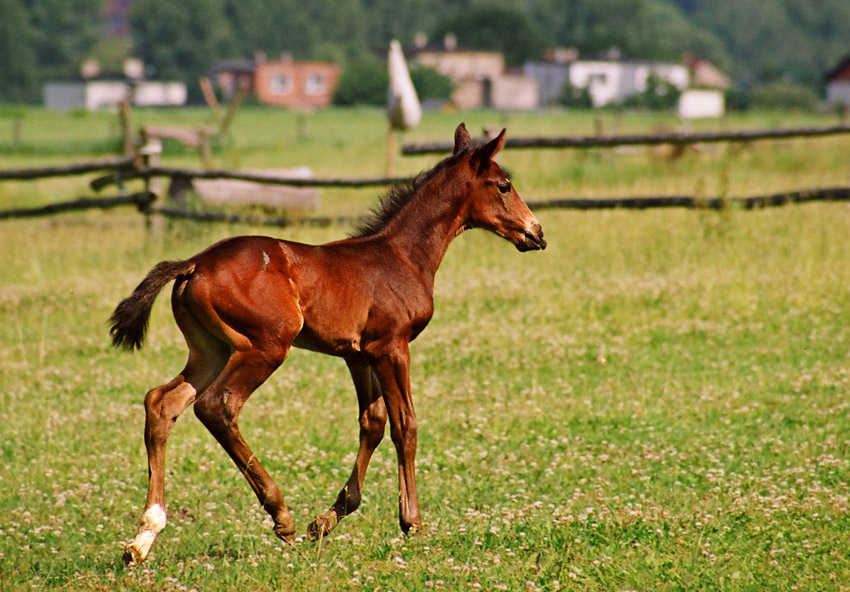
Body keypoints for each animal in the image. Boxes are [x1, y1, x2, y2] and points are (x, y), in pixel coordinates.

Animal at [111, 122, 544, 560]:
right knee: (217, 405)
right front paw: (412, 523)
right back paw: (280, 514)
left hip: (210, 351)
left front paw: (326, 521)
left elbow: (373, 422)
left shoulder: (359, 356)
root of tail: (195, 263)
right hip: (265, 346)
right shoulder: (392, 347)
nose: (536, 233)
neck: (402, 256)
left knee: (161, 403)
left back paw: (145, 535)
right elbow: (405, 425)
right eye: (504, 186)